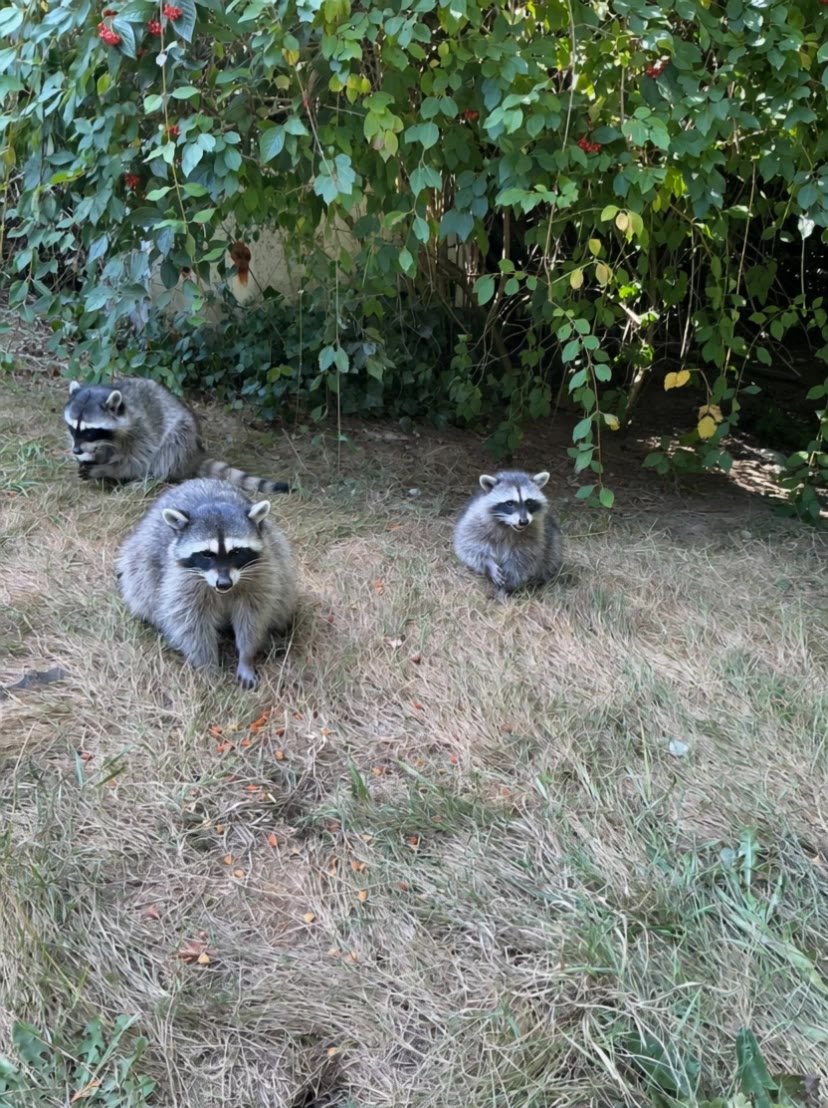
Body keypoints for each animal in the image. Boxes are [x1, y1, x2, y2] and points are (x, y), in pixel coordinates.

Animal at [64, 377, 290, 494]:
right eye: (73, 428)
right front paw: (91, 458)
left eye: (90, 431)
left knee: (170, 449)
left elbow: (137, 462)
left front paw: (106, 470)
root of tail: (195, 454)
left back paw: (151, 478)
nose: (76, 450)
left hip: (184, 433)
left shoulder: (141, 431)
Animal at [117, 478, 297, 688]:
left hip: (277, 553)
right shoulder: (181, 580)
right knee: (143, 585)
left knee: (283, 590)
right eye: (206, 554)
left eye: (236, 552)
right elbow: (191, 624)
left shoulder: (260, 572)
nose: (224, 583)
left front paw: (246, 657)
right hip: (143, 554)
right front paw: (209, 666)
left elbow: (253, 618)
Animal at [453, 470, 562, 599]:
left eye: (529, 502)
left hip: (552, 542)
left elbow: (521, 561)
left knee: (551, 554)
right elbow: (470, 545)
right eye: (510, 503)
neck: (508, 525)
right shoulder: (476, 520)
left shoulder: (534, 534)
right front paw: (487, 563)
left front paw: (505, 588)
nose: (524, 521)